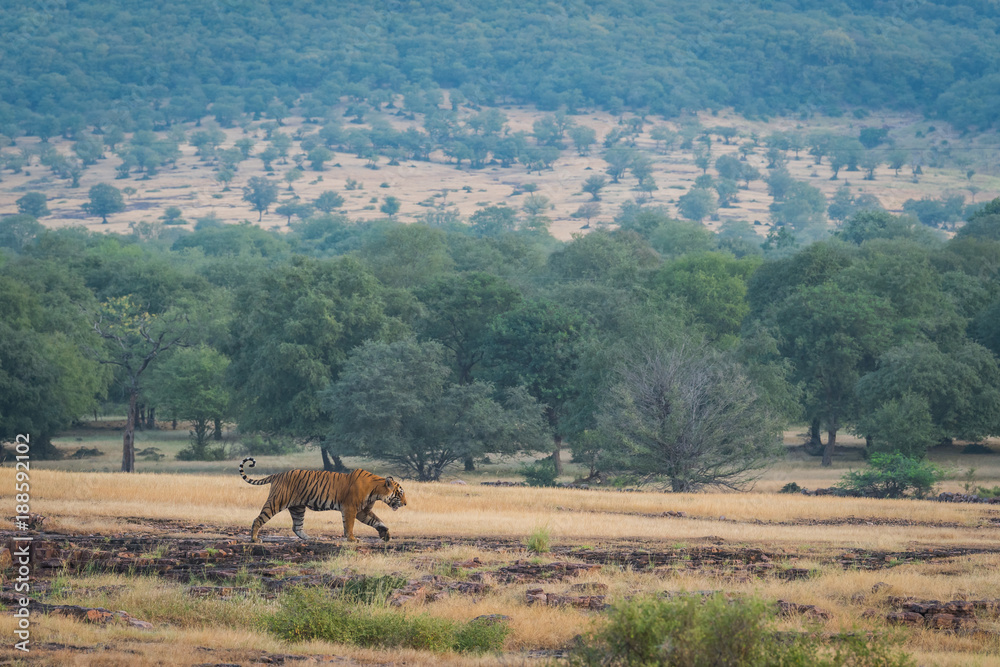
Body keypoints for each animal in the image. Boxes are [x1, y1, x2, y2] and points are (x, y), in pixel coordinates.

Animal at [238, 456, 406, 544]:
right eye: (400, 493)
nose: (405, 504)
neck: (376, 491)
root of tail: (278, 474)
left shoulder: (363, 511)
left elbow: (377, 521)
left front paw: (385, 534)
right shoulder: (350, 508)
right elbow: (349, 525)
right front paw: (352, 539)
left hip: (298, 508)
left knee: (297, 526)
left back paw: (310, 538)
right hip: (276, 502)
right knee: (258, 519)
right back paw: (254, 539)